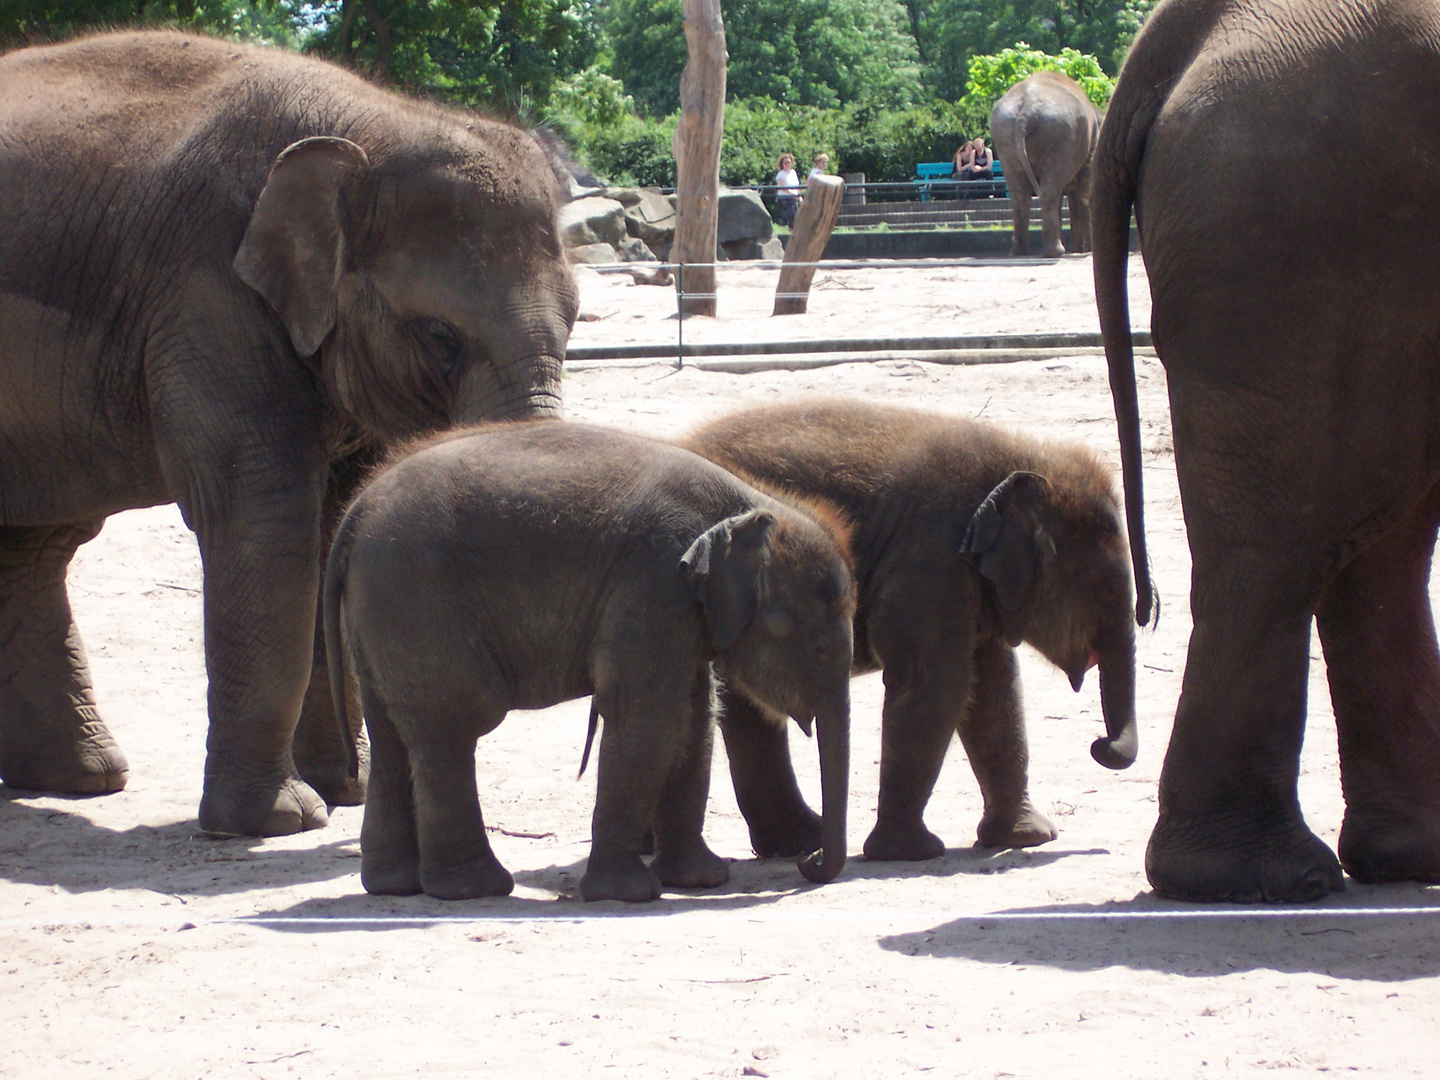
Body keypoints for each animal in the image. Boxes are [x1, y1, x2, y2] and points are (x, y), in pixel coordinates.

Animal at [4, 33, 584, 840]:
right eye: (440, 336)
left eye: (577, 322)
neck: (372, 124)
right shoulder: (208, 293)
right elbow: (268, 518)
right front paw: (279, 820)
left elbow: (333, 526)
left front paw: (349, 791)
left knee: (37, 543)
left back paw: (83, 779)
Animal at [324, 420, 852, 904]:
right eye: (816, 647)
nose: (808, 862)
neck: (746, 505)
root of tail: (355, 512)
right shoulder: (653, 581)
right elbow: (648, 720)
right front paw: (629, 894)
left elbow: (693, 718)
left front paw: (699, 882)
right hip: (416, 599)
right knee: (454, 723)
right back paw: (475, 889)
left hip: (378, 611)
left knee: (393, 734)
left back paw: (396, 886)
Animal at [679, 403, 1140, 869]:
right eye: (1107, 592)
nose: (1100, 745)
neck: (1015, 460)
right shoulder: (930, 561)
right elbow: (936, 685)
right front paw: (909, 853)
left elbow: (994, 689)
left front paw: (1026, 837)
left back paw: (798, 845)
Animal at [990, 71, 1100, 257]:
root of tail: (1027, 110)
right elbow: (1084, 192)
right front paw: (1086, 251)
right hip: (1060, 136)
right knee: (1050, 190)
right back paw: (1056, 252)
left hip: (1004, 136)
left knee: (1020, 193)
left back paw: (1020, 251)